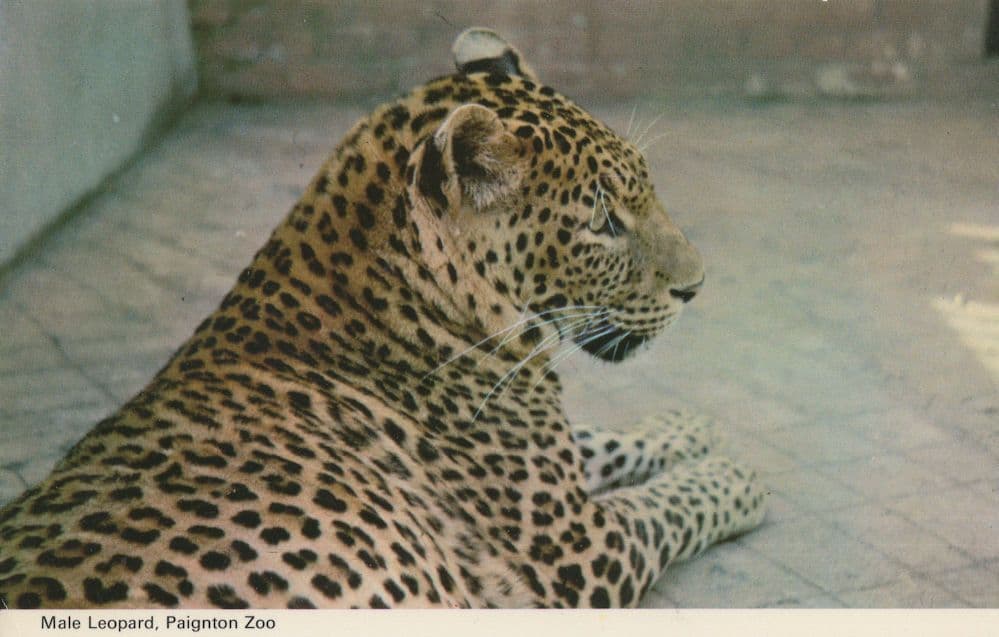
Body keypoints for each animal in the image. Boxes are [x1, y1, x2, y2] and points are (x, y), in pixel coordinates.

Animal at [0, 28, 766, 609]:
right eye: (603, 223)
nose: (697, 286)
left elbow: (602, 439)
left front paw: (687, 426)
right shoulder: (573, 549)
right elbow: (670, 504)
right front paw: (738, 475)